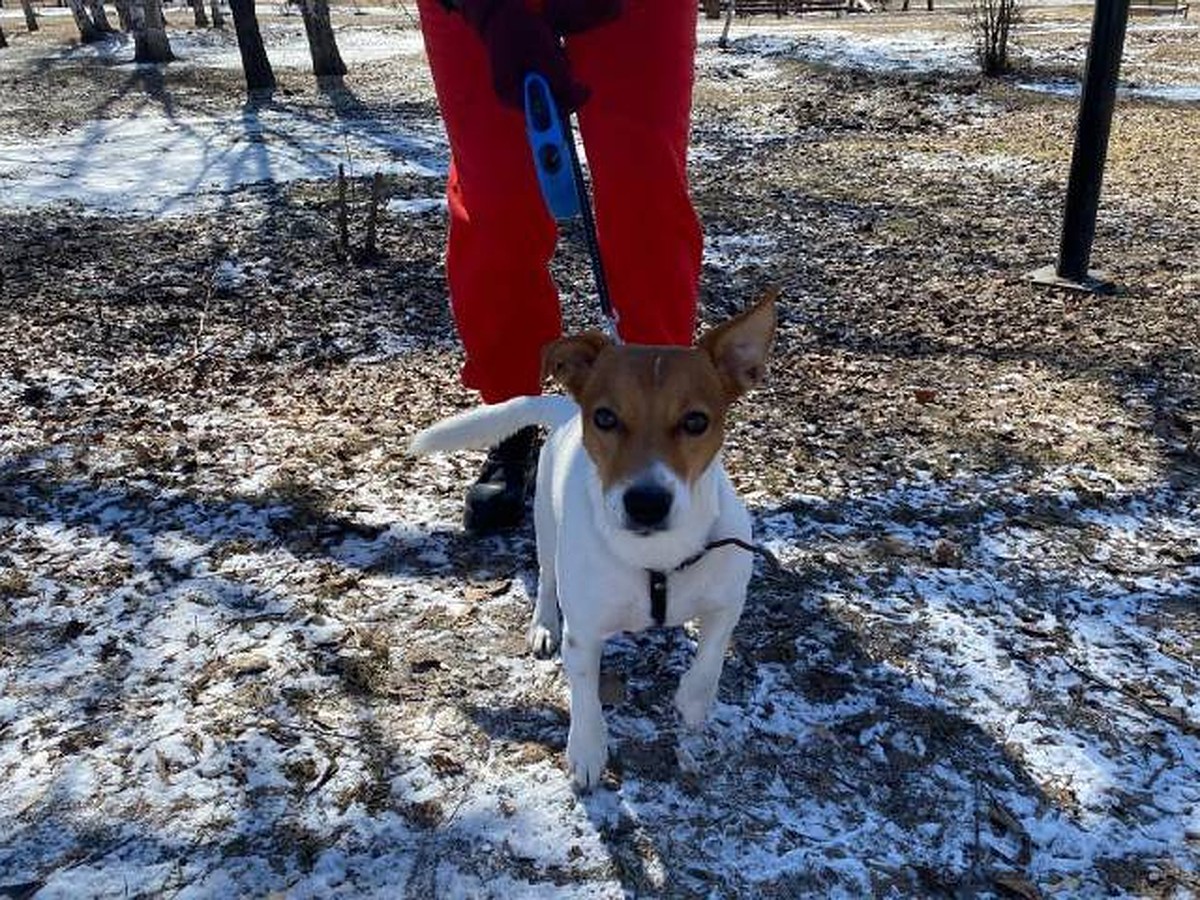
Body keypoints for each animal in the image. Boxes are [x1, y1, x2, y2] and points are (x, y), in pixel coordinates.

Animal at [412, 294, 777, 787]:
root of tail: (565, 412)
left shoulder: (728, 600)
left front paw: (692, 703)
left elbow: (711, 658)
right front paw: (587, 751)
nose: (646, 502)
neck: (657, 557)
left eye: (696, 421)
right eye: (605, 417)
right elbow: (585, 699)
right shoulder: (584, 634)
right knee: (547, 578)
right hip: (547, 531)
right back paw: (543, 625)